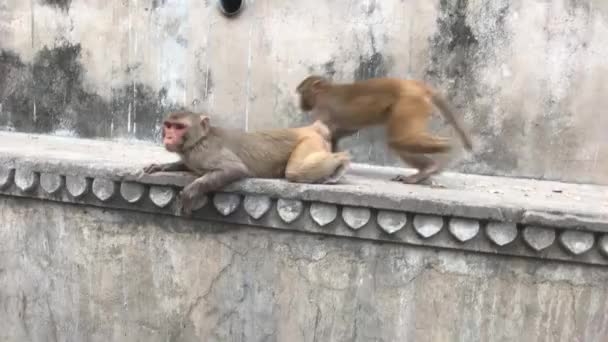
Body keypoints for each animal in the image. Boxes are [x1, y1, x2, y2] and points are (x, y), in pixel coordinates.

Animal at [144, 111, 352, 215]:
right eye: (168, 125)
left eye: (179, 127)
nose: (169, 136)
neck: (198, 141)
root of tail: (310, 128)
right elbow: (185, 165)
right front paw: (162, 166)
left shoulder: (206, 152)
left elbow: (235, 168)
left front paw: (190, 192)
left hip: (309, 141)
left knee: (295, 171)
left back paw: (343, 161)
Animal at [296, 75, 472, 184]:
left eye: (302, 92)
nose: (301, 104)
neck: (324, 91)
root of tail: (417, 86)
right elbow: (338, 134)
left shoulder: (323, 108)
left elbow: (325, 133)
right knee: (400, 142)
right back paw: (427, 170)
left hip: (409, 103)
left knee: (399, 140)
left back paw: (445, 151)